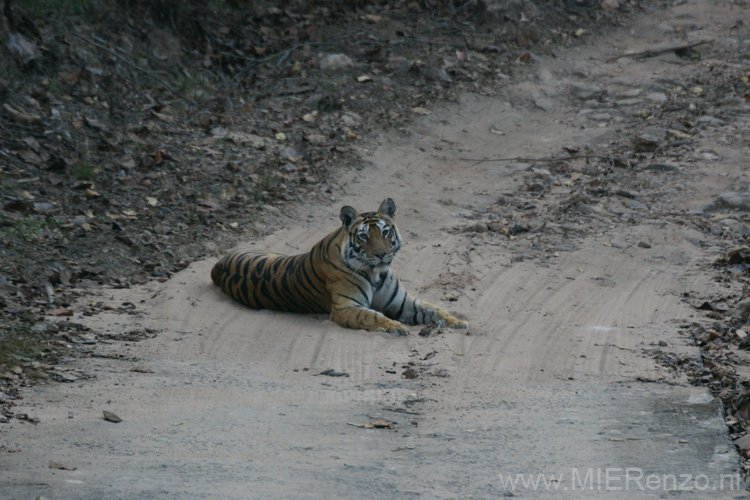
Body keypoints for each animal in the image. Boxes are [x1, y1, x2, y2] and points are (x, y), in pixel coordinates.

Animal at [210, 197, 470, 334]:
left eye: (385, 232)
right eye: (364, 236)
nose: (381, 254)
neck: (376, 273)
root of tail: (218, 264)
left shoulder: (403, 303)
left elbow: (435, 308)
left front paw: (457, 321)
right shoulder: (345, 308)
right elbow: (372, 316)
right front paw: (394, 326)